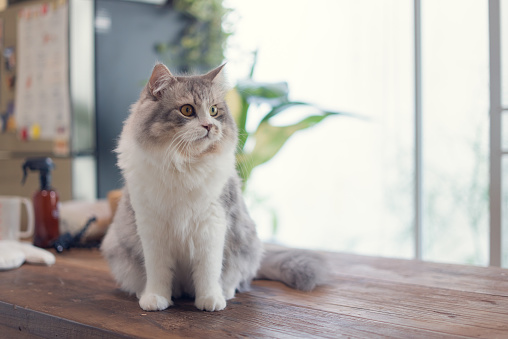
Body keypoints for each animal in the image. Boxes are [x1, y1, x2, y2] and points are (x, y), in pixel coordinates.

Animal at [101, 62, 328, 312]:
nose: (209, 126)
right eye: (187, 110)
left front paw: (210, 300)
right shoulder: (151, 228)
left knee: (235, 279)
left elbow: (208, 271)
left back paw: (224, 293)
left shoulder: (212, 225)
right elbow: (158, 272)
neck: (184, 165)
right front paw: (156, 299)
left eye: (213, 111)